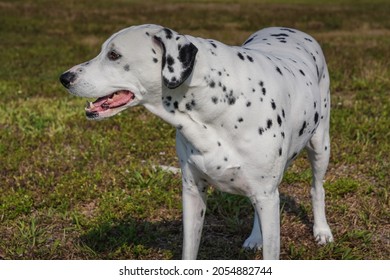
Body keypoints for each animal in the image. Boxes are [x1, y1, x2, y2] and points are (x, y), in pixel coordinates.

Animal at [59, 24, 334, 260]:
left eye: (114, 55)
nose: (65, 77)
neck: (215, 106)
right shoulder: (193, 191)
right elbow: (189, 249)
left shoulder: (267, 194)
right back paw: (256, 236)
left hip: (321, 146)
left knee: (316, 188)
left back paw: (321, 230)